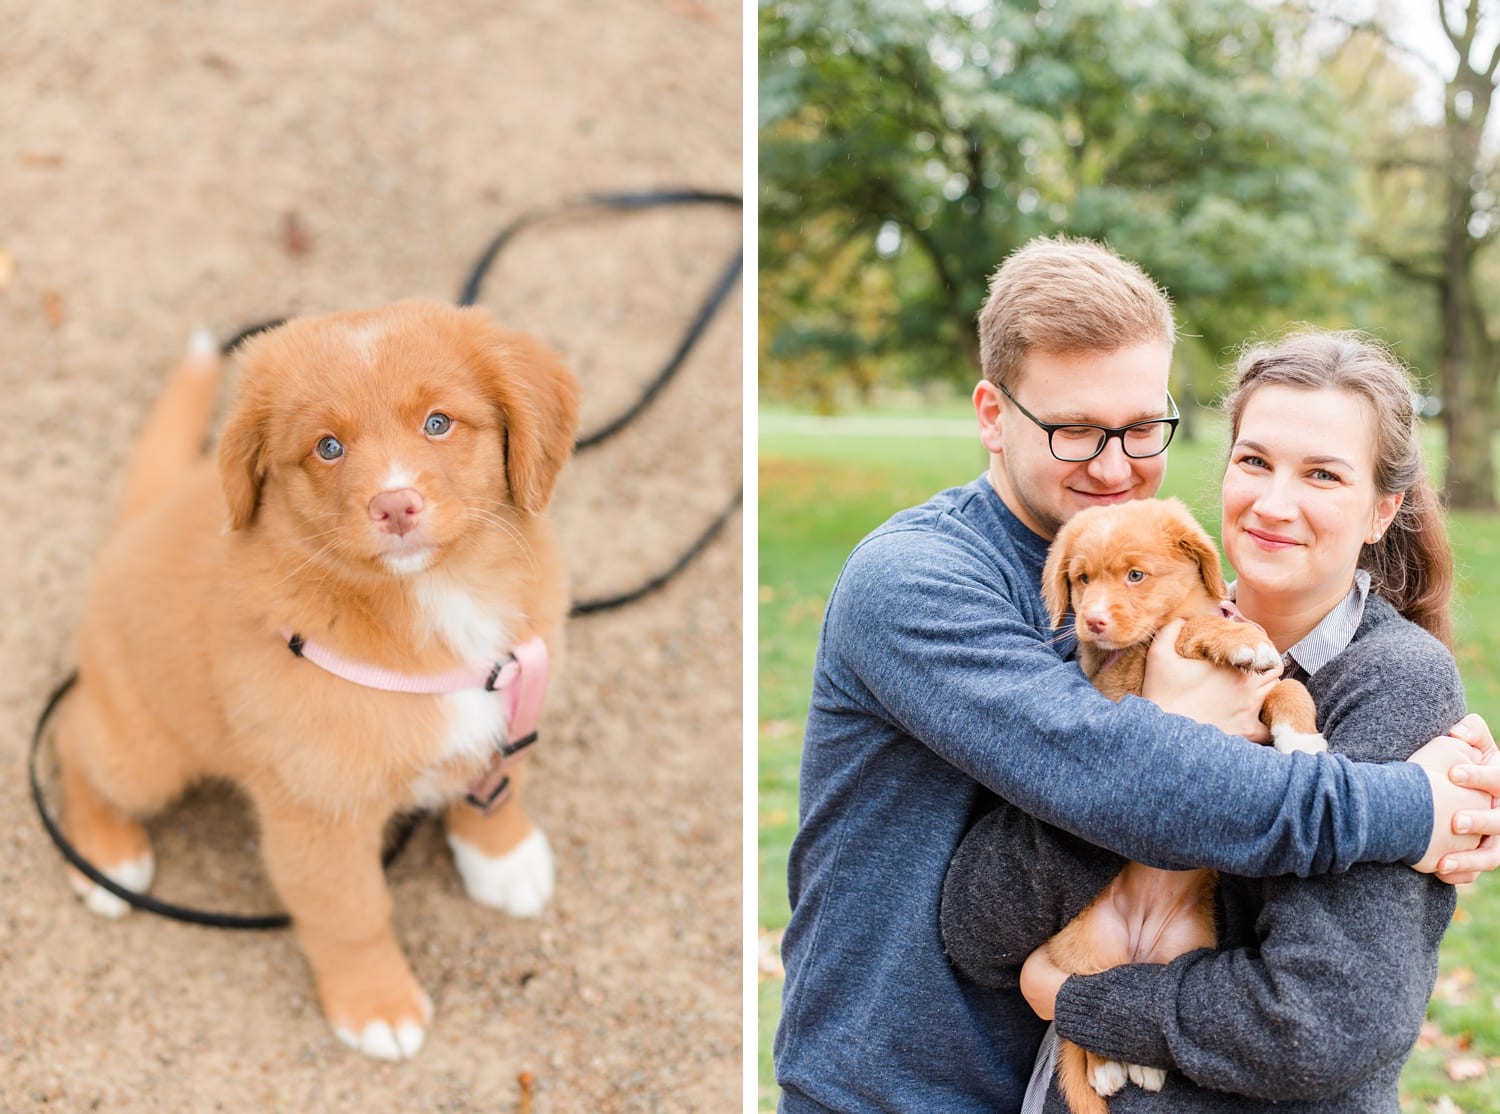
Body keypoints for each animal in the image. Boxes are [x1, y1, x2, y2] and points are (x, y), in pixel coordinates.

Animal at [54, 301, 579, 1067]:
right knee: (73, 738)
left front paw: (502, 860)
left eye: (438, 423)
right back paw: (107, 856)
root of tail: (137, 522)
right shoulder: (318, 815)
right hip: (144, 755)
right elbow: (352, 917)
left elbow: (496, 788)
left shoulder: (511, 704)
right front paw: (377, 1005)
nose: (396, 505)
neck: (432, 605)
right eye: (327, 447)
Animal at [1038, 497, 1320, 1114]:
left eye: (1135, 576)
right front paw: (1236, 638)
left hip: (1175, 951)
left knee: (1129, 1011)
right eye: (1081, 580)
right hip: (1089, 948)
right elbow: (1185, 628)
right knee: (1079, 1012)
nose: (1092, 621)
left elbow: (1287, 685)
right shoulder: (1127, 682)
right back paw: (1108, 1071)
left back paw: (1141, 1066)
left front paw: (1302, 738)